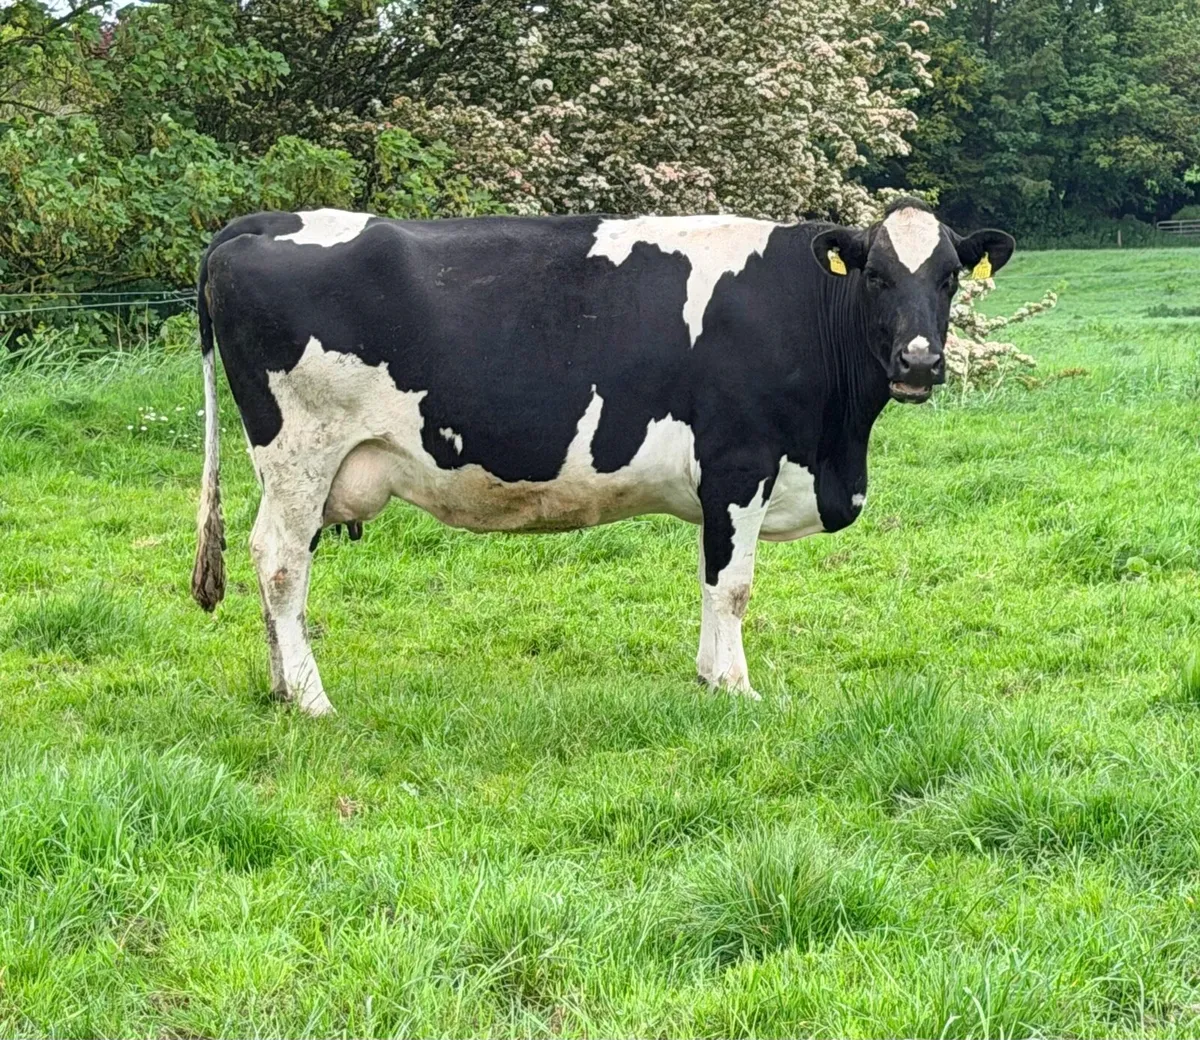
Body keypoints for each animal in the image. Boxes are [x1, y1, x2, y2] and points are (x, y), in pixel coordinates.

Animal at [191, 197, 1014, 715]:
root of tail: (259, 224)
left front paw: (708, 679)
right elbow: (732, 586)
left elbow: (710, 581)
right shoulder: (739, 463)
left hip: (302, 468)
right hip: (301, 449)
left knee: (282, 569)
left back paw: (281, 689)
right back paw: (313, 700)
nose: (919, 362)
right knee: (280, 563)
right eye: (876, 275)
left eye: (948, 278)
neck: (836, 447)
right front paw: (735, 687)